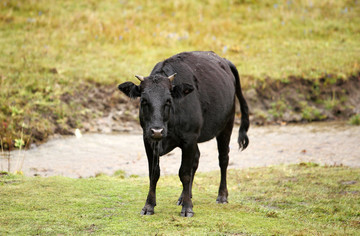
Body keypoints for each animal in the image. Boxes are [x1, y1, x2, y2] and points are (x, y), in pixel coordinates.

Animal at [116, 50, 249, 217]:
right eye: (144, 101)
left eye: (168, 100)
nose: (157, 130)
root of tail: (223, 60)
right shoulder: (148, 139)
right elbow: (154, 173)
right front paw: (149, 205)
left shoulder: (189, 139)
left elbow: (184, 172)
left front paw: (187, 208)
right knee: (196, 159)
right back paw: (184, 196)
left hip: (227, 124)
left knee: (223, 159)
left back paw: (222, 196)